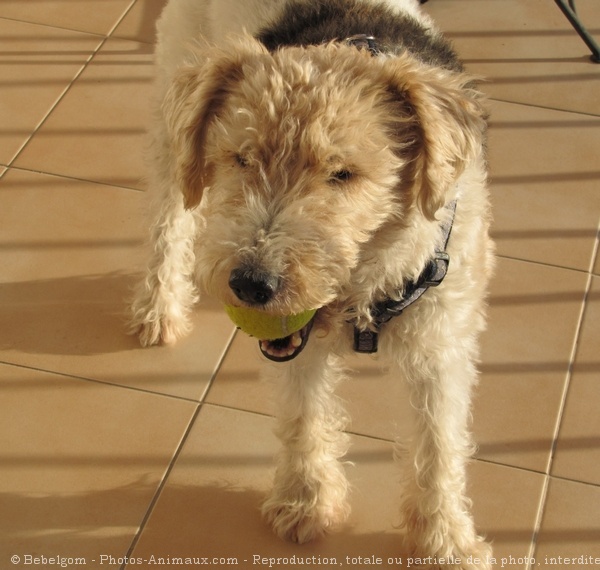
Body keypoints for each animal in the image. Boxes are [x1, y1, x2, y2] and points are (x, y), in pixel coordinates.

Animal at [131, 1, 496, 564]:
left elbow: (438, 443)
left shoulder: (440, 344)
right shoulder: (294, 347)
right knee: (168, 220)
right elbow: (304, 417)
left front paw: (446, 542)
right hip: (175, 126)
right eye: (242, 157)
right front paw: (305, 503)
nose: (251, 285)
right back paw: (159, 309)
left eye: (342, 173)